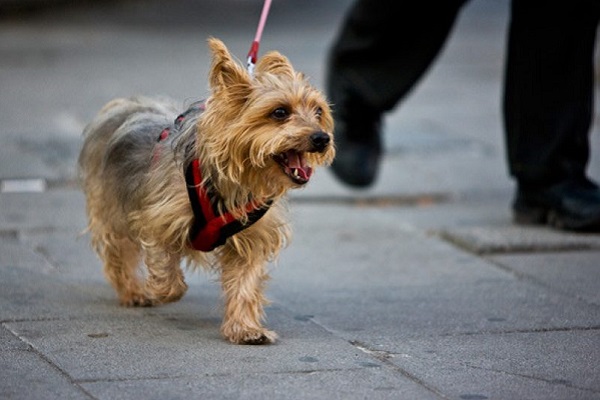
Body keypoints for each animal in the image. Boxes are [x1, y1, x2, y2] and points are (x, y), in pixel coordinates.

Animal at [77, 38, 336, 344]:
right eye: (280, 112)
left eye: (318, 111)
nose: (322, 138)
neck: (238, 179)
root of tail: (126, 103)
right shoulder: (157, 219)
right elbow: (166, 270)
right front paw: (159, 290)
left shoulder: (251, 239)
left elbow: (245, 283)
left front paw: (245, 329)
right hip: (111, 205)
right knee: (117, 252)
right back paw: (134, 291)